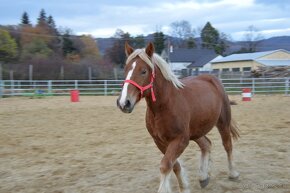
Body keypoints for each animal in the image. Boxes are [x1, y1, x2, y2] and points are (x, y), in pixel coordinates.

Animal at [116, 42, 240, 193]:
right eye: (126, 69)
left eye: (143, 71)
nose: (124, 102)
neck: (164, 106)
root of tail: (213, 79)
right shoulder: (160, 141)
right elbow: (174, 165)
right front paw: (184, 188)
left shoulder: (180, 140)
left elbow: (166, 165)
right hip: (196, 131)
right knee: (206, 144)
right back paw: (203, 177)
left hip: (223, 122)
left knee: (227, 145)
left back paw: (233, 173)